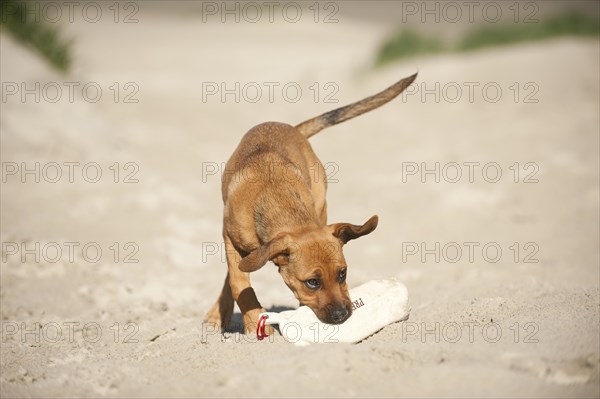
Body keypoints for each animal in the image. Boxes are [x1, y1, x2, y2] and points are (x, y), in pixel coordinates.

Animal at [205, 72, 418, 334]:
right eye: (312, 282)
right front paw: (255, 322)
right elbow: (238, 282)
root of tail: (291, 128)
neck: (277, 199)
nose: (343, 315)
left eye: (342, 274)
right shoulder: (230, 238)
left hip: (321, 206)